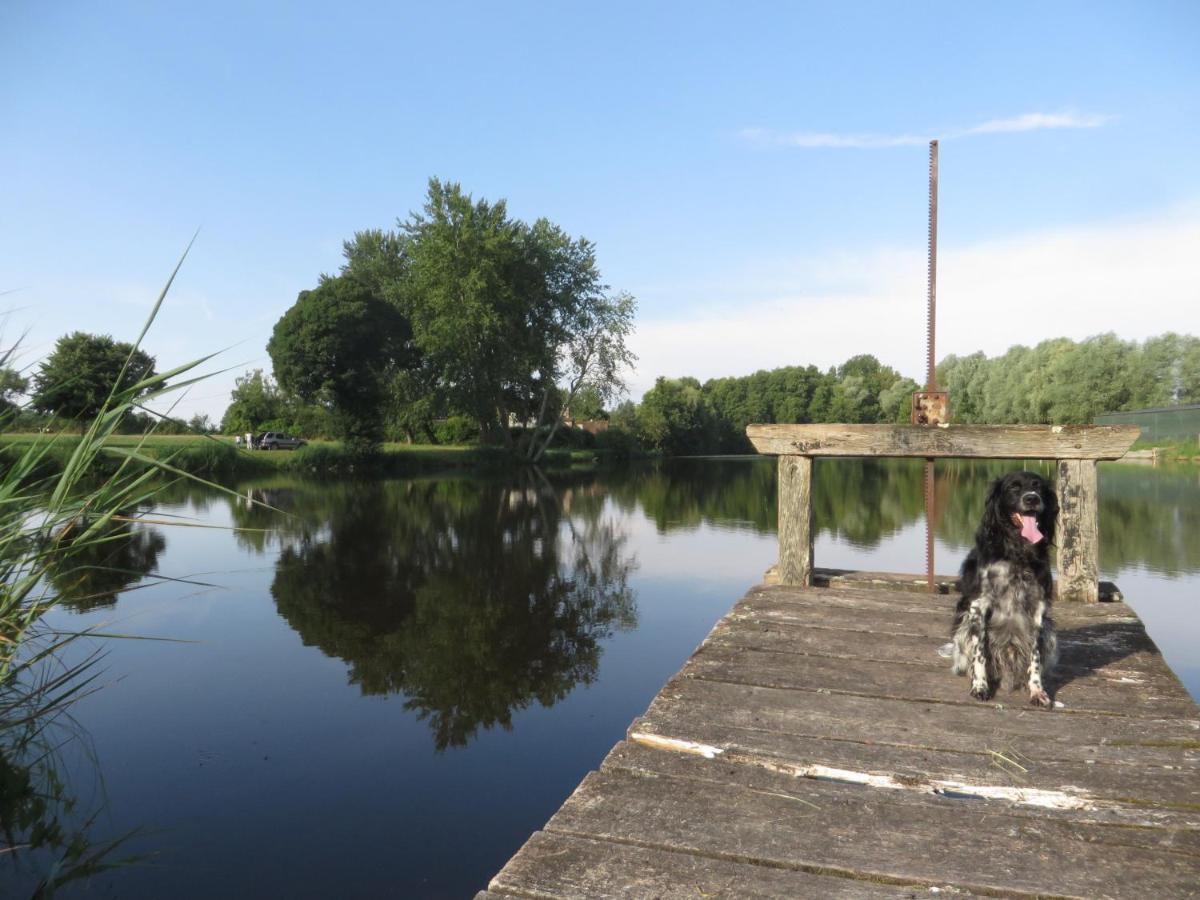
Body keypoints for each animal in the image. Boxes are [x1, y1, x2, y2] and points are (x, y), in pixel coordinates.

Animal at [950, 472, 1056, 710]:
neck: (1017, 552)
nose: (1032, 498)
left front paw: (1037, 690)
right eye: (1014, 488)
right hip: (963, 626)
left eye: (1038, 487)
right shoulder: (978, 606)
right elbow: (980, 655)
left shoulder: (1038, 610)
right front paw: (980, 686)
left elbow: (1035, 658)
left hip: (1050, 632)